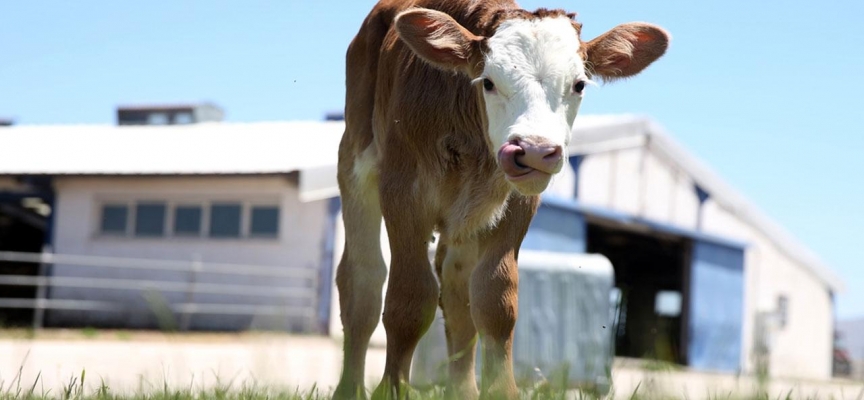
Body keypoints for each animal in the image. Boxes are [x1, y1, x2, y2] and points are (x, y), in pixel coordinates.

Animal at [336, 1, 668, 398]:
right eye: (488, 82)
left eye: (578, 84)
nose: (535, 150)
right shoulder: (403, 192)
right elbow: (409, 298)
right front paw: (393, 389)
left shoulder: (516, 206)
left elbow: (494, 301)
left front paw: (500, 390)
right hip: (355, 165)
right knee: (362, 282)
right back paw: (349, 388)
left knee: (457, 293)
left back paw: (462, 390)